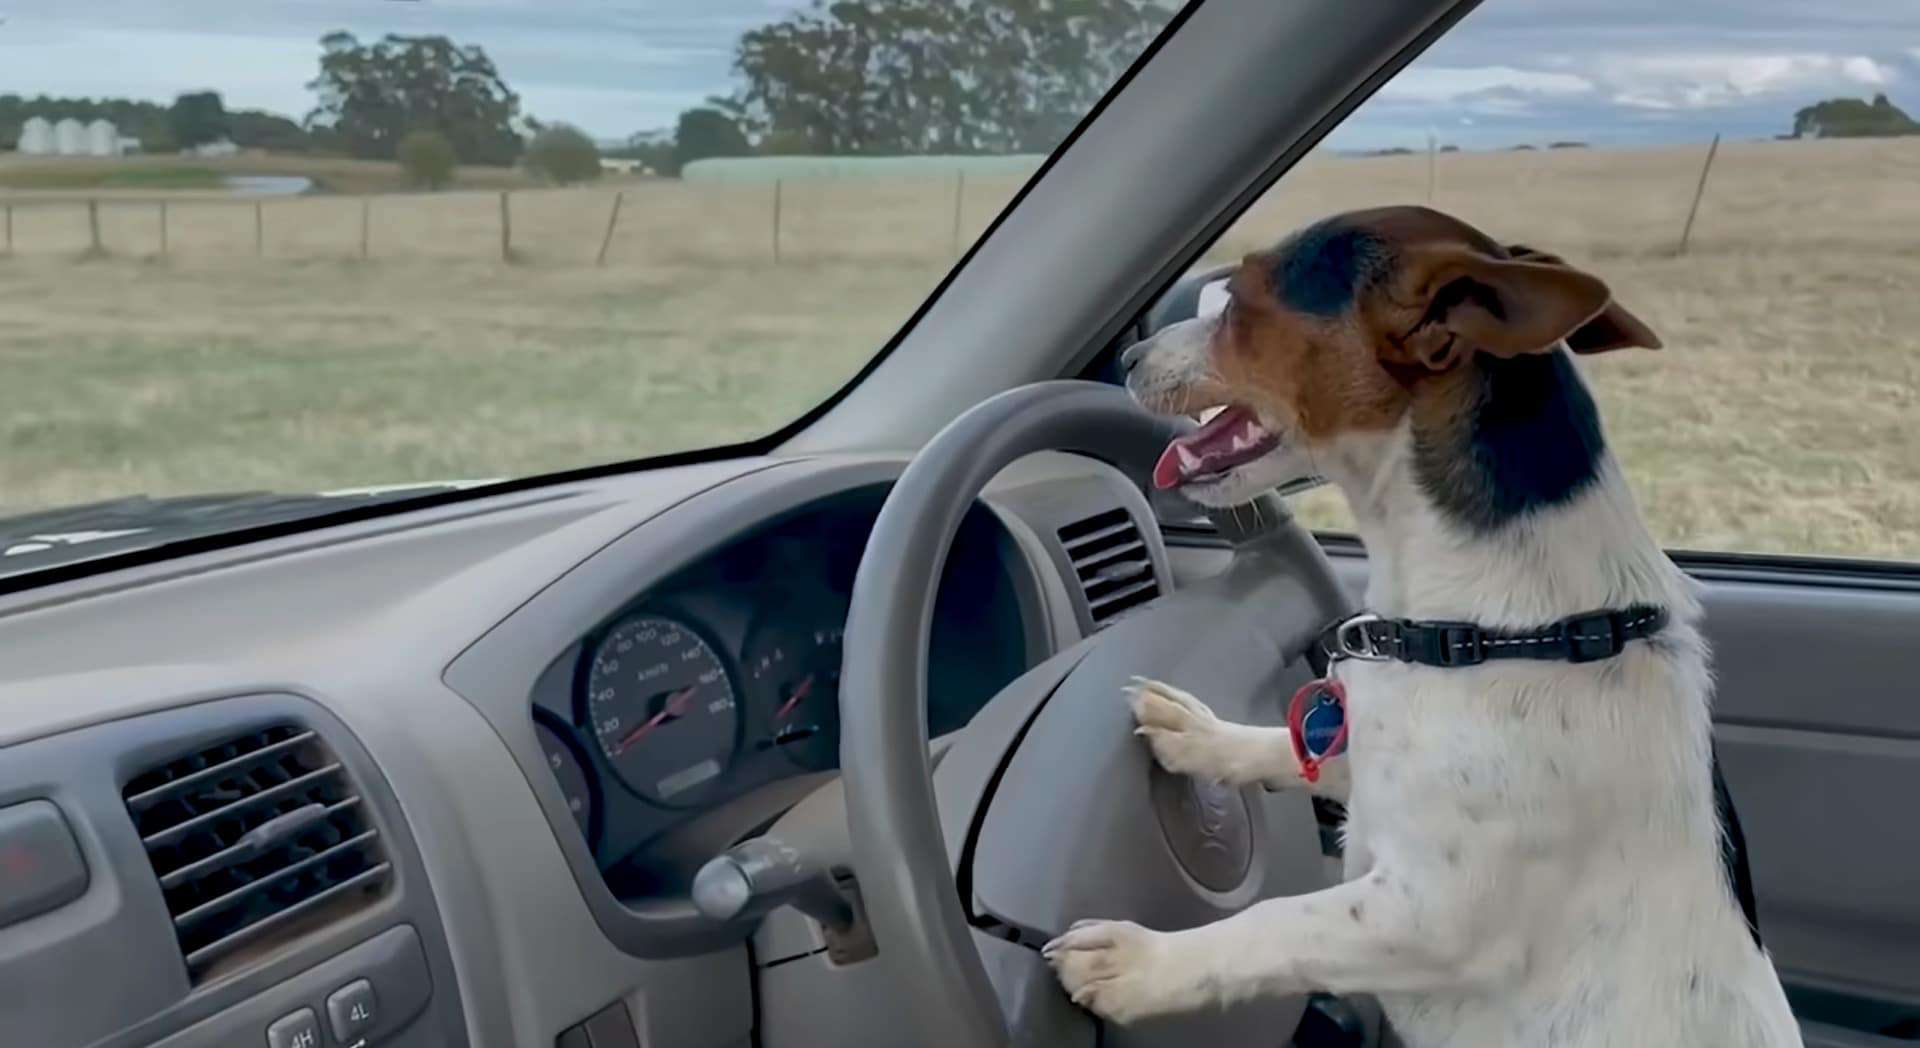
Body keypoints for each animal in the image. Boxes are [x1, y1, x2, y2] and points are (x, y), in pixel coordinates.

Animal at [1044, 206, 1804, 1044]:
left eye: (1238, 298)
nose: (1128, 356)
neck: (1497, 632)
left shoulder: (1422, 920)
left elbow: (1272, 925)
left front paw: (1141, 962)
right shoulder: (1371, 767)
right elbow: (1294, 744)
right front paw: (1199, 733)